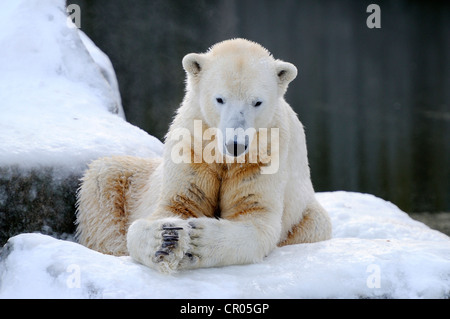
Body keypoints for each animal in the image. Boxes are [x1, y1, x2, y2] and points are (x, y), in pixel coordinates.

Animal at [75, 37, 332, 272]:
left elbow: (254, 214)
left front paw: (197, 241)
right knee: (103, 181)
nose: (235, 144)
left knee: (317, 225)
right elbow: (177, 204)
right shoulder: (192, 147)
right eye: (220, 99)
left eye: (257, 102)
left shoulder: (265, 154)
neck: (224, 156)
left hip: (306, 214)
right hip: (132, 181)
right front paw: (166, 238)